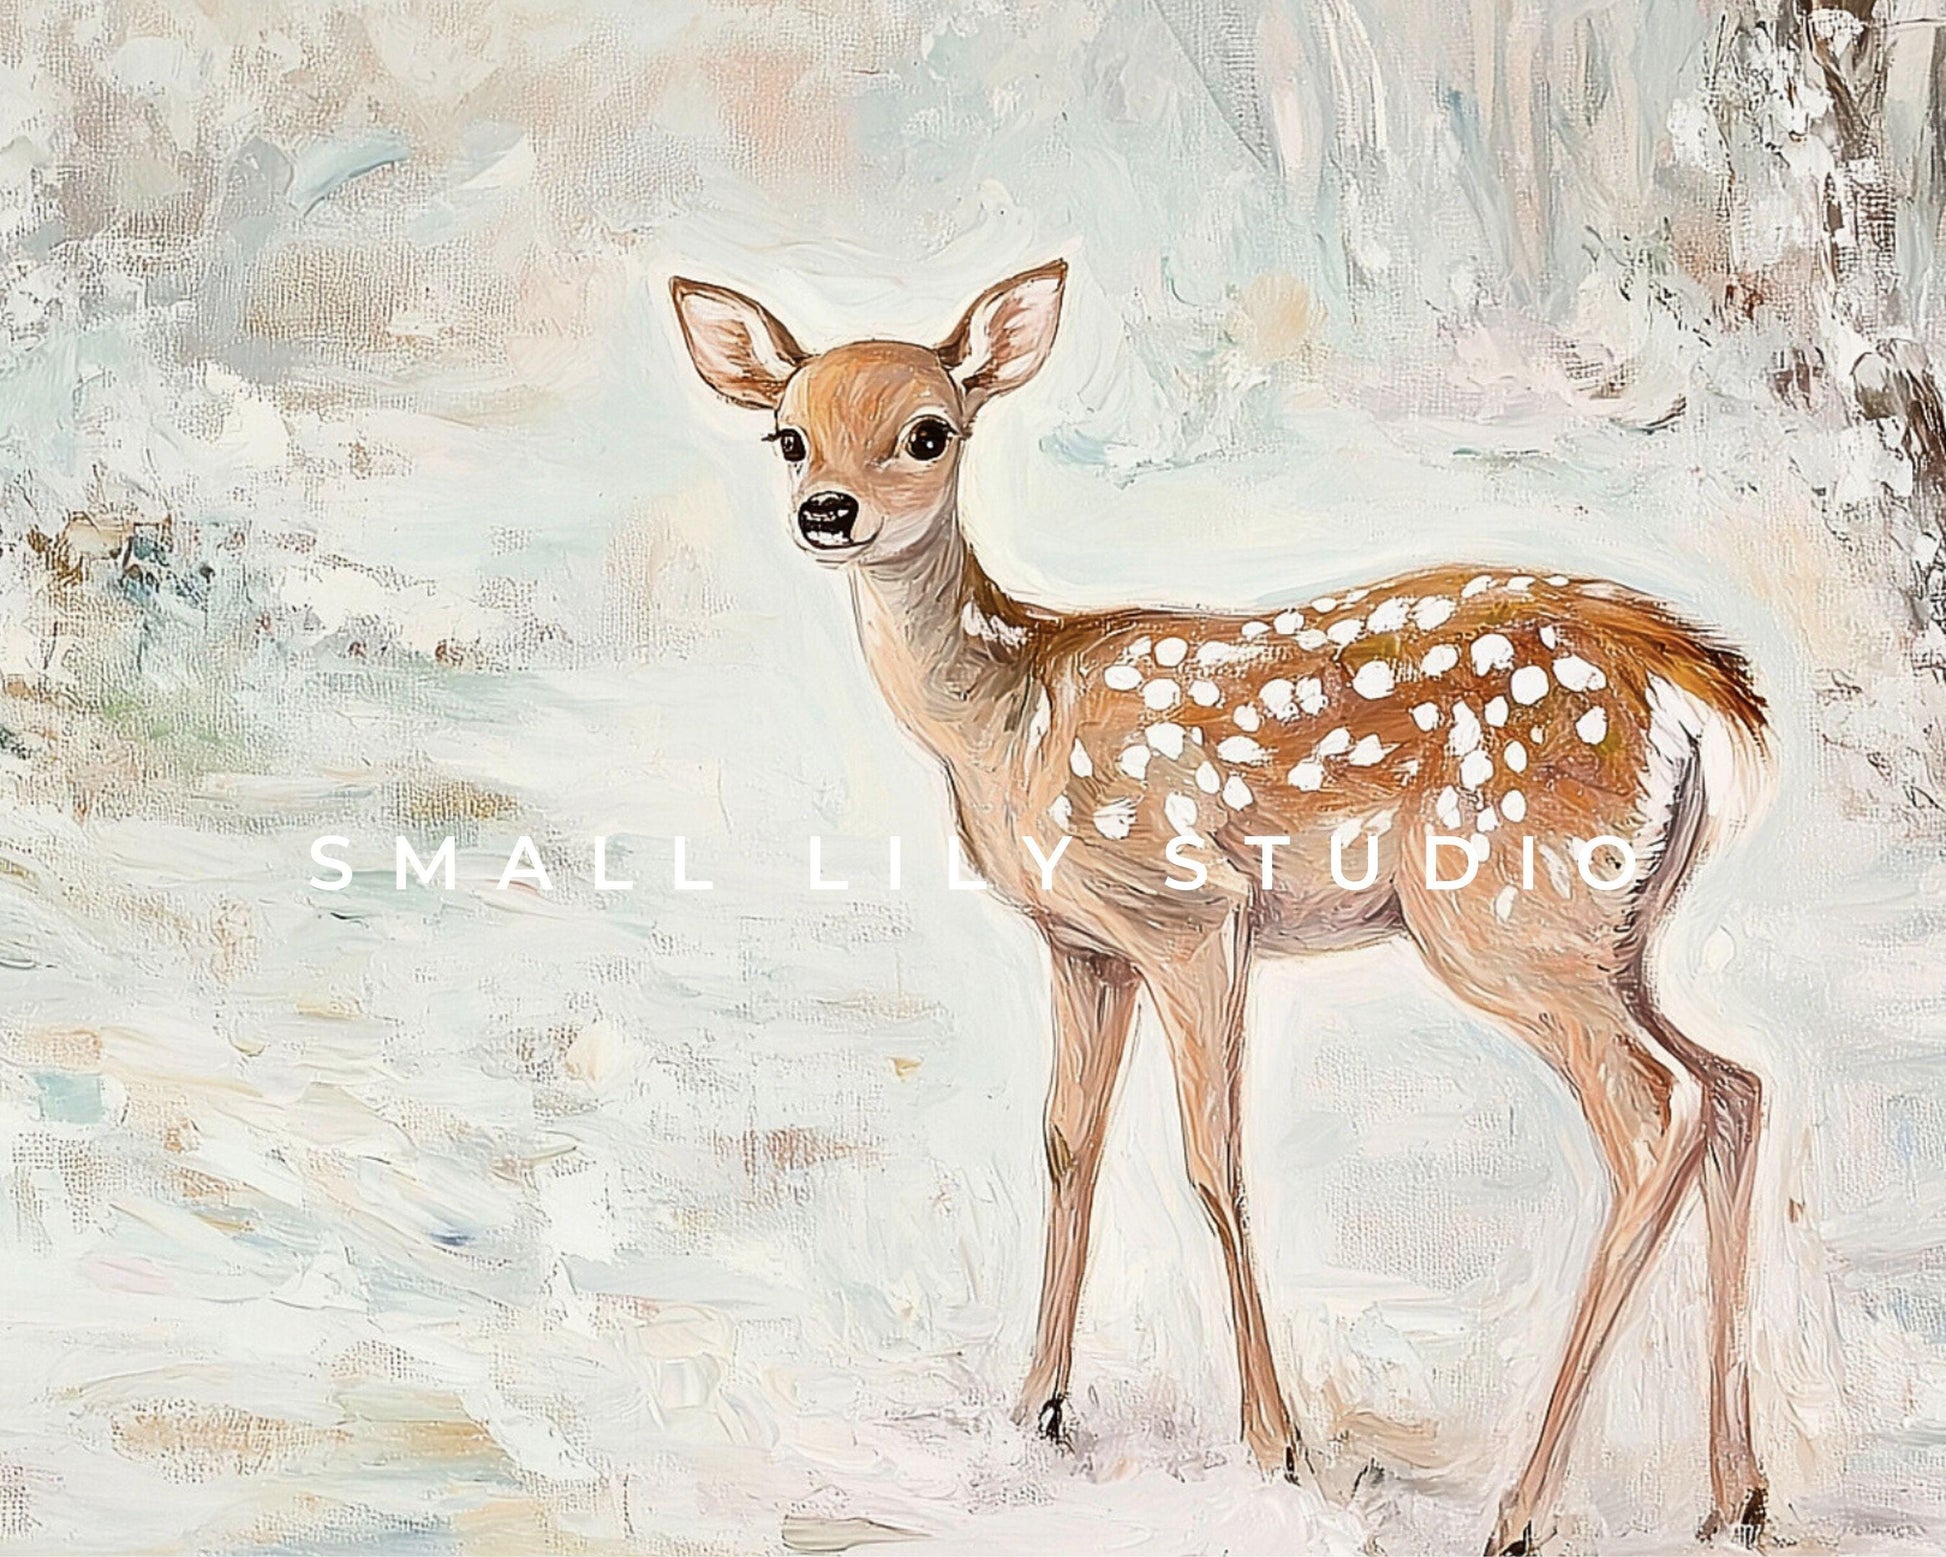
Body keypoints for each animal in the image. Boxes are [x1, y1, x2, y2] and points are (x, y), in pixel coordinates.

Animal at [671, 259, 1773, 1555]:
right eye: (787, 435)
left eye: (928, 432)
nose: (827, 512)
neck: (1004, 718)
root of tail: (1690, 683)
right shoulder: (1080, 943)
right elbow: (1067, 1142)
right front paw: (1037, 1406)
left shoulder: (1190, 913)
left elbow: (1213, 1159)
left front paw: (1275, 1444)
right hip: (1612, 929)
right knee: (1735, 1086)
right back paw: (1735, 1494)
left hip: (1504, 918)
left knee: (1658, 1114)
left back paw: (1519, 1508)